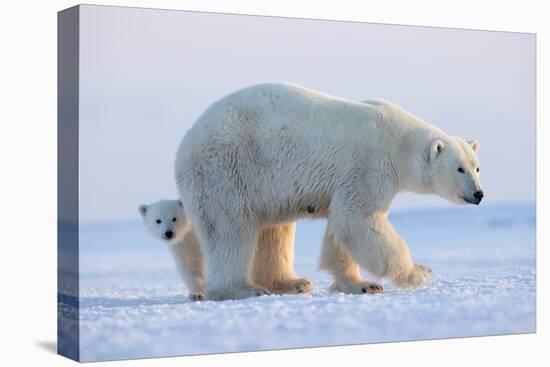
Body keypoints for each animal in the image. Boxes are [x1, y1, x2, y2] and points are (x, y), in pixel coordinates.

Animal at [138, 200, 314, 300]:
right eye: (158, 220)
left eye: (174, 218)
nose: (168, 233)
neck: (189, 233)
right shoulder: (182, 245)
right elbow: (189, 266)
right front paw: (196, 293)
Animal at [175, 83, 486, 302]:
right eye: (459, 169)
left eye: (477, 167)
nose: (479, 194)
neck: (399, 142)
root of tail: (185, 143)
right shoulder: (369, 166)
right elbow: (359, 218)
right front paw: (419, 273)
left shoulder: (347, 181)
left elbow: (340, 229)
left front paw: (362, 284)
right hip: (227, 169)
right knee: (230, 229)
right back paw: (241, 289)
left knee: (274, 231)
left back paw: (292, 282)